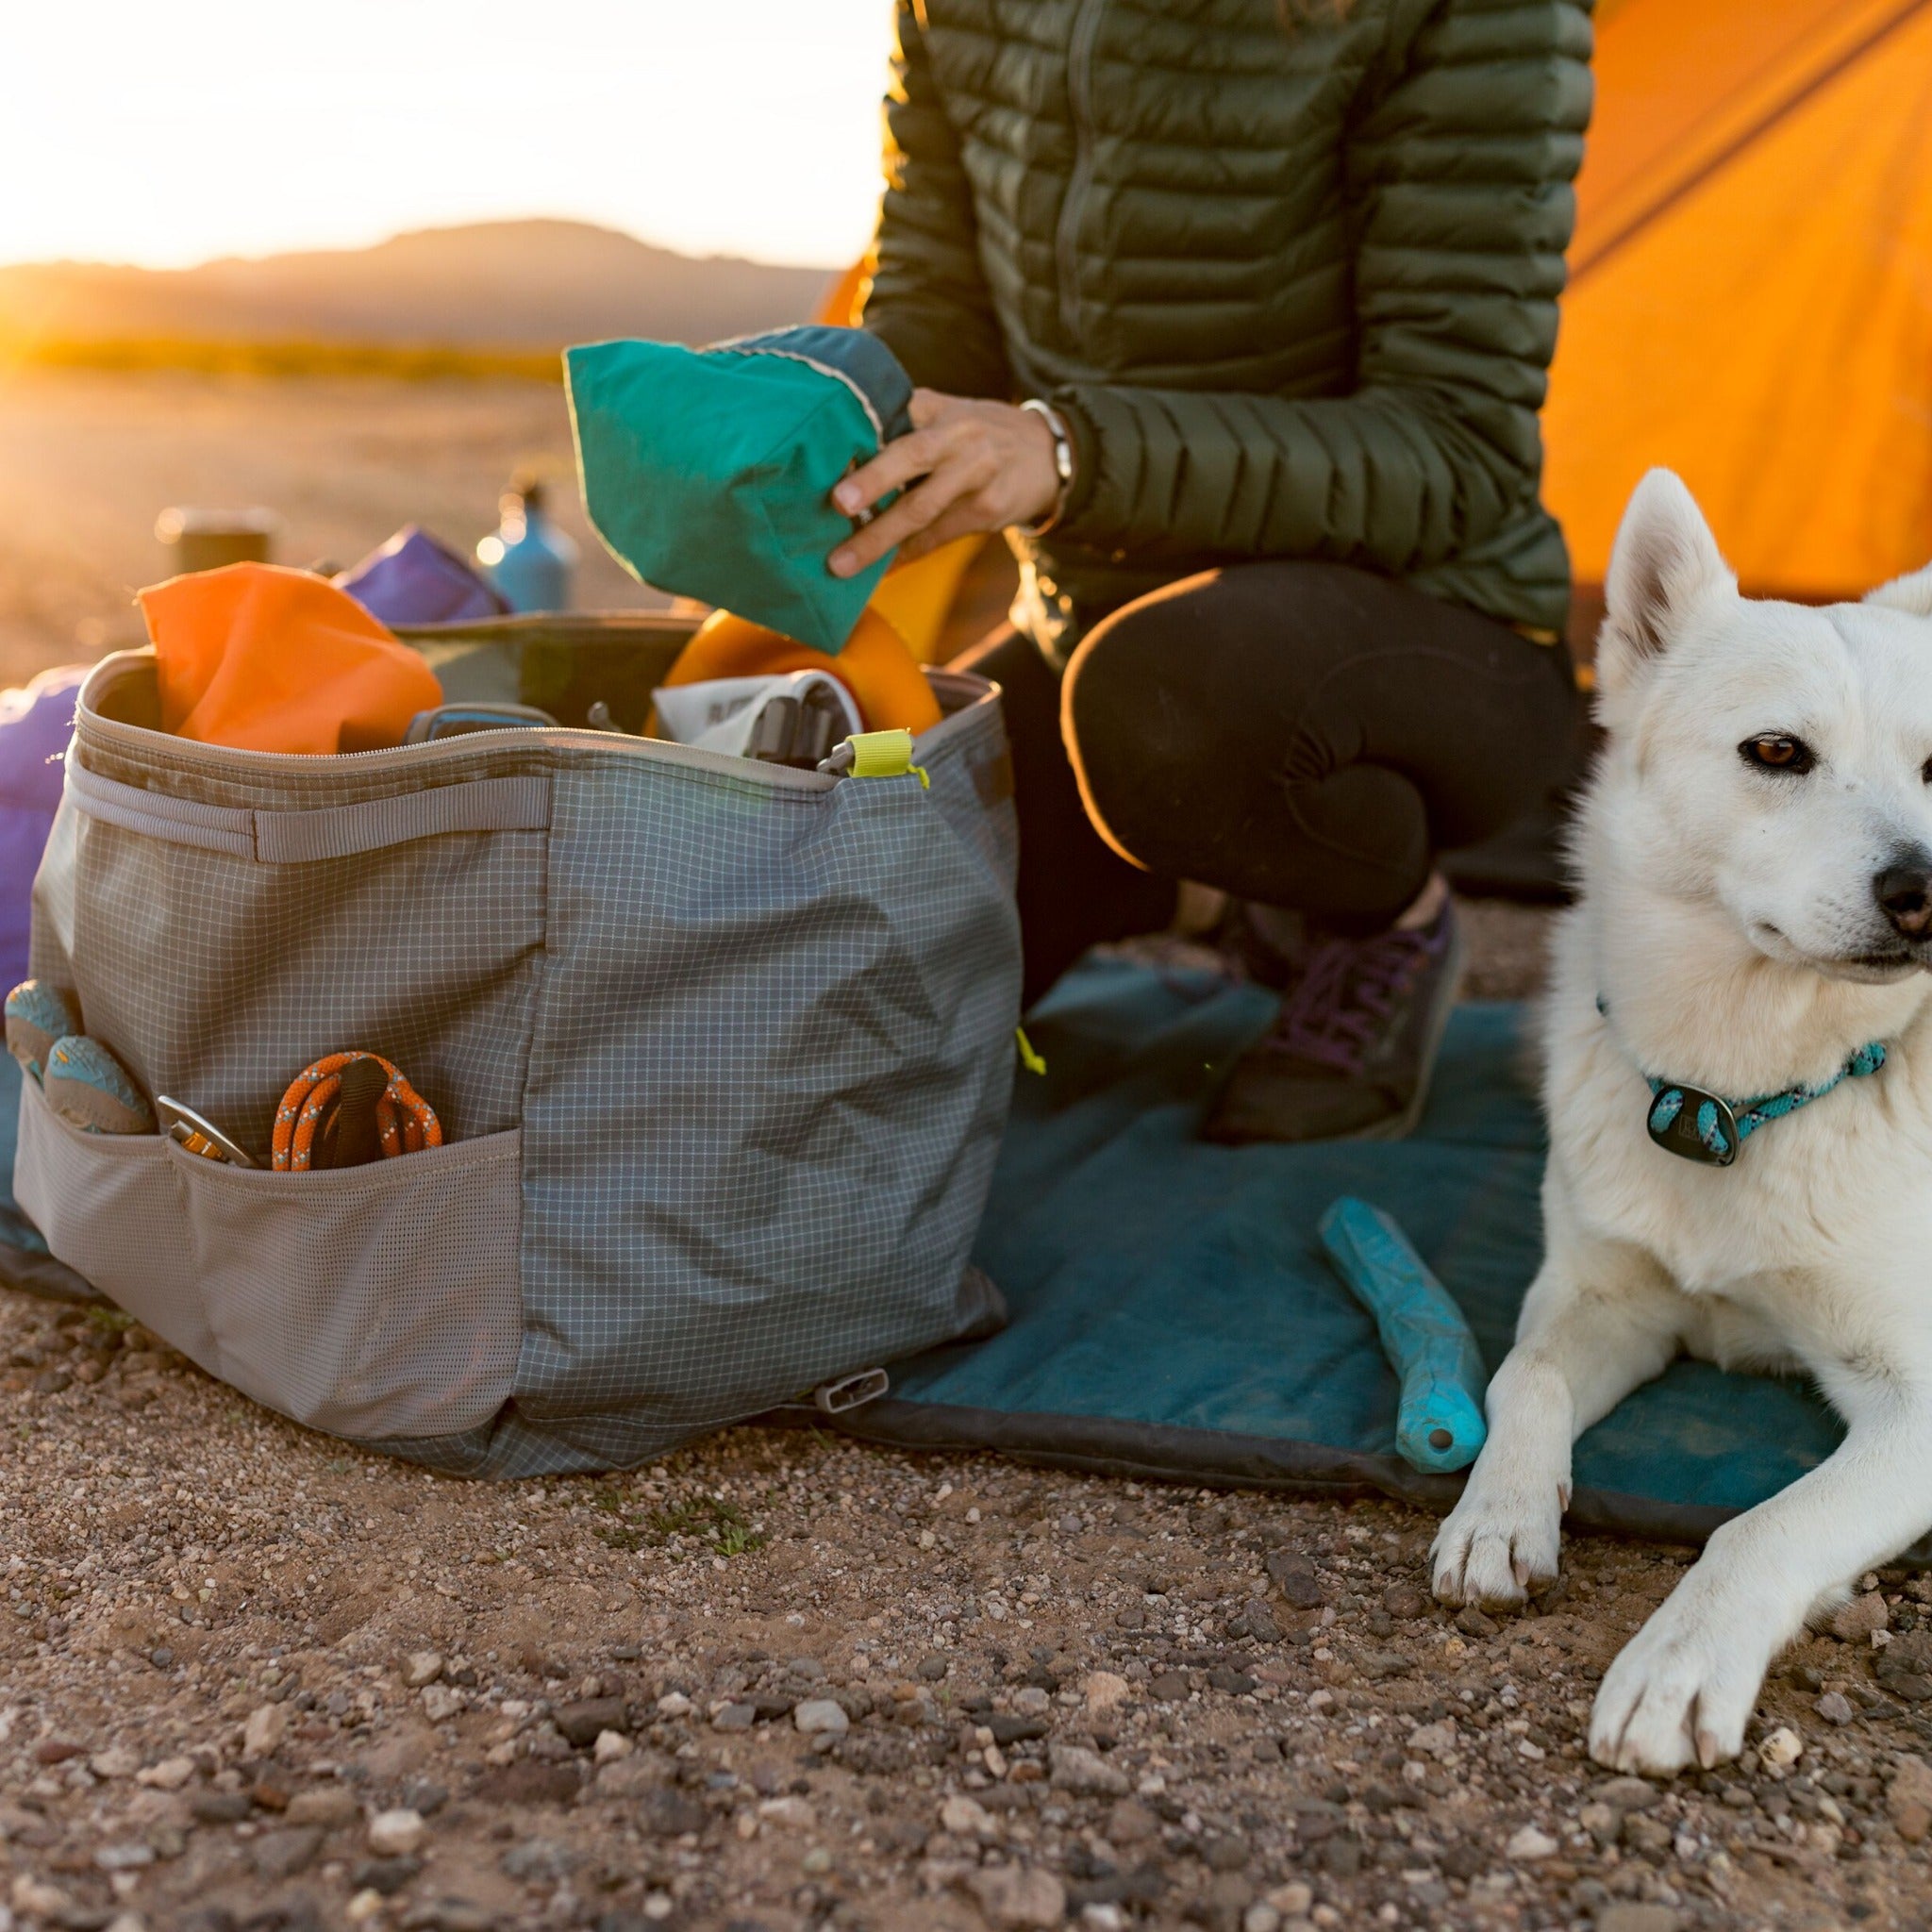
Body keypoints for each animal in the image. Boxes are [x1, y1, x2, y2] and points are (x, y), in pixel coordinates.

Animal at [1429, 471, 1932, 1777]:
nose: (1923, 890)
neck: (1739, 1100)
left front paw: (1678, 1661)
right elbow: (1522, 1376)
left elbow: (1760, 1525)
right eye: (1776, 752)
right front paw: (1495, 1513)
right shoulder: (1602, 1293)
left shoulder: (1916, 1398)